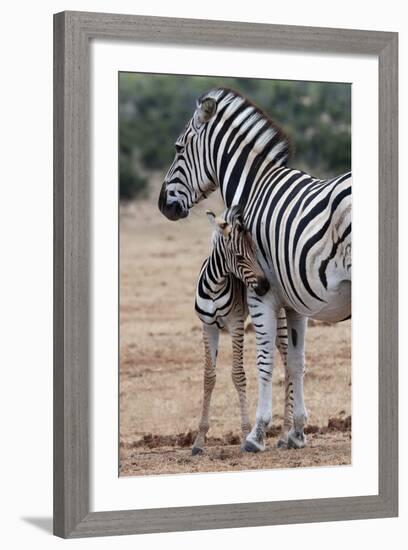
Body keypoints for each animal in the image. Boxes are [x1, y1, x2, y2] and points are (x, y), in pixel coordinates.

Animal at [192, 207, 290, 458]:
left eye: (256, 252)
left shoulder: (235, 324)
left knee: (289, 366)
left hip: (279, 320)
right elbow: (208, 377)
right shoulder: (207, 326)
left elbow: (238, 375)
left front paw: (246, 433)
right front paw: (199, 440)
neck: (214, 287)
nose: (265, 287)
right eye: (239, 257)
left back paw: (286, 434)